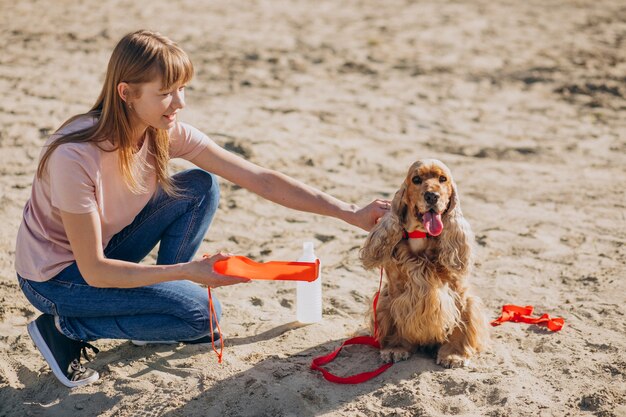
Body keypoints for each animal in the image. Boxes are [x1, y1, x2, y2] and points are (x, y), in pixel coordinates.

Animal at [360, 159, 488, 368]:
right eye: (416, 179)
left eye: (443, 179)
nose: (432, 196)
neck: (421, 235)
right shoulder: (395, 292)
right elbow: (397, 319)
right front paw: (396, 348)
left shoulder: (460, 293)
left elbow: (460, 323)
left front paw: (454, 354)